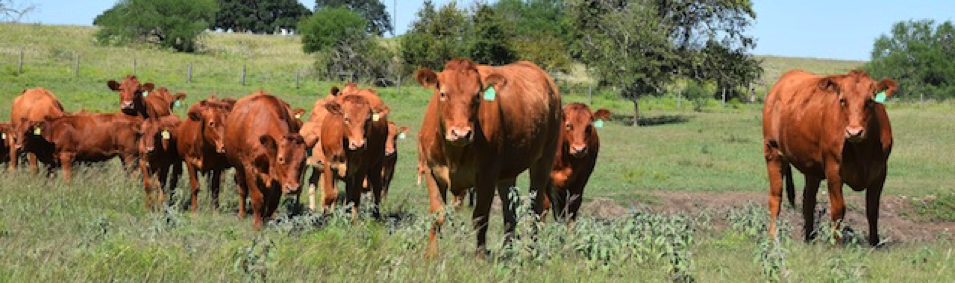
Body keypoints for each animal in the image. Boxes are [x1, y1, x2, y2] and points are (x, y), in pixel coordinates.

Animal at [225, 92, 308, 230]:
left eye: (303, 159)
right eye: (281, 158)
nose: (293, 188)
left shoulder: (279, 178)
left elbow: (273, 200)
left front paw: (268, 219)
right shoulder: (249, 168)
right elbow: (257, 197)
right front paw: (257, 225)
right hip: (238, 167)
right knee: (242, 189)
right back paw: (242, 214)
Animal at [416, 59, 564, 258]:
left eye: (477, 95)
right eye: (443, 93)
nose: (461, 133)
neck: (454, 155)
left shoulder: (487, 174)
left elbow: (480, 217)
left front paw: (480, 256)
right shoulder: (431, 170)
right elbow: (437, 214)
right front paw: (431, 254)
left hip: (545, 158)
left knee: (536, 208)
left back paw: (531, 251)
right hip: (507, 173)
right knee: (509, 211)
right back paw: (507, 251)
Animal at [760, 69, 896, 246]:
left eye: (870, 101)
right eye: (842, 100)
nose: (854, 132)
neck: (862, 150)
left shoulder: (880, 172)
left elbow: (872, 210)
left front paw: (874, 243)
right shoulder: (833, 170)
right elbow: (838, 210)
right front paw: (836, 243)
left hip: (811, 168)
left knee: (808, 201)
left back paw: (809, 238)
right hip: (773, 152)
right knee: (776, 198)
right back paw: (772, 239)